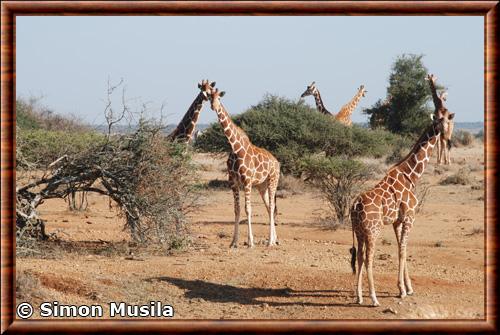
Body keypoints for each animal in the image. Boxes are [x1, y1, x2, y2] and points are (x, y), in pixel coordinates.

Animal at [203, 86, 282, 249]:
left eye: (219, 98)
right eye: (209, 97)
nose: (214, 106)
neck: (235, 148)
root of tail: (277, 162)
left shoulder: (247, 181)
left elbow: (248, 209)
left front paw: (250, 242)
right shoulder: (233, 182)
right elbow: (237, 209)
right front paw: (234, 242)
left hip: (273, 180)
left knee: (272, 206)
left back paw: (270, 241)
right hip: (262, 186)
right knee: (268, 207)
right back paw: (274, 240)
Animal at [350, 113, 456, 308]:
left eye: (448, 121)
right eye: (439, 122)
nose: (446, 137)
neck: (411, 176)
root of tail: (354, 205)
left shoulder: (397, 221)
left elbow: (402, 248)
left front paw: (407, 288)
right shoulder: (409, 217)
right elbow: (402, 250)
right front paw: (402, 291)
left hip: (359, 231)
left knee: (359, 257)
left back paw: (359, 297)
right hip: (372, 230)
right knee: (368, 258)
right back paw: (374, 298)